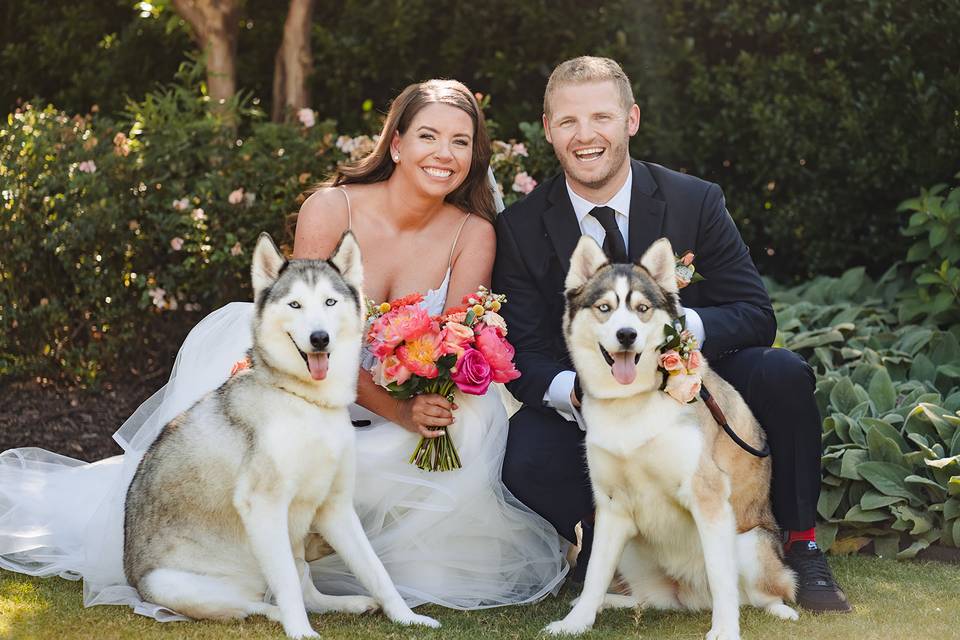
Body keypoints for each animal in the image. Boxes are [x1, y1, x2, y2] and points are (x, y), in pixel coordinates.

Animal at [124, 232, 438, 636]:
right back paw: (277, 614)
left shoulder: (335, 508)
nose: (319, 338)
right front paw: (301, 632)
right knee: (251, 605)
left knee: (305, 591)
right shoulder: (264, 506)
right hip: (172, 582)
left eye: (329, 301)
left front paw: (406, 616)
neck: (307, 403)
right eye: (295, 304)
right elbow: (286, 583)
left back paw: (347, 603)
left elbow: (376, 571)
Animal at [548, 236, 796, 640]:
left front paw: (724, 630)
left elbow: (722, 578)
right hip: (634, 552)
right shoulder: (611, 507)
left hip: (750, 544)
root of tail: (690, 596)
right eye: (605, 308)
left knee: (762, 593)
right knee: (650, 598)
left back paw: (780, 609)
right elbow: (595, 574)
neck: (630, 404)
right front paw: (576, 622)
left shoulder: (708, 496)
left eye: (642, 309)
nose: (627, 335)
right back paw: (613, 603)